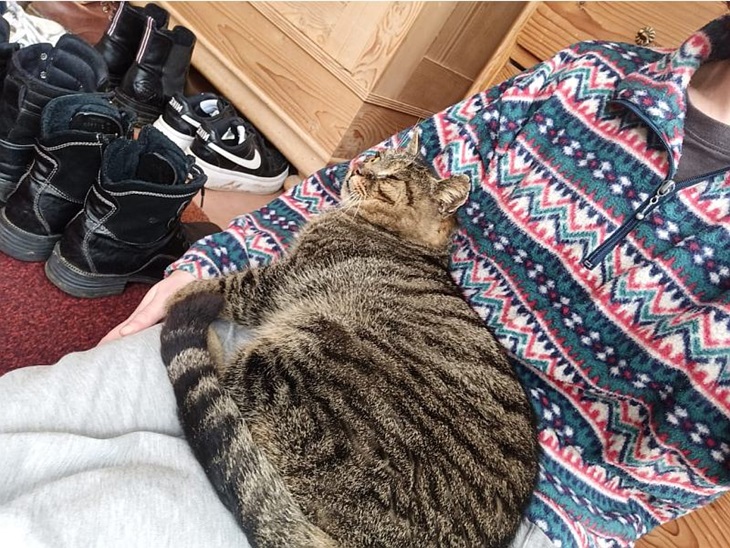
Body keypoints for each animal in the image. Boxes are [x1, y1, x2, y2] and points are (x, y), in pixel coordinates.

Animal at [160, 131, 539, 548]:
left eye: (390, 177)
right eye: (375, 157)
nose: (358, 165)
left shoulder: (279, 280)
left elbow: (220, 286)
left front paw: (180, 294)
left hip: (292, 351)